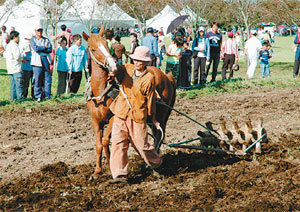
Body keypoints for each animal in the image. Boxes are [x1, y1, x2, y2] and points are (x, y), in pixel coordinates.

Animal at [82, 26, 176, 179]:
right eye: (93, 49)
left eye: (106, 44)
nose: (113, 66)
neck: (102, 92)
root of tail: (166, 76)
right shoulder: (95, 121)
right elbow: (99, 144)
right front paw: (97, 171)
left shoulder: (114, 118)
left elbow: (106, 141)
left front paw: (110, 167)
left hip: (162, 116)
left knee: (158, 135)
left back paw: (153, 163)